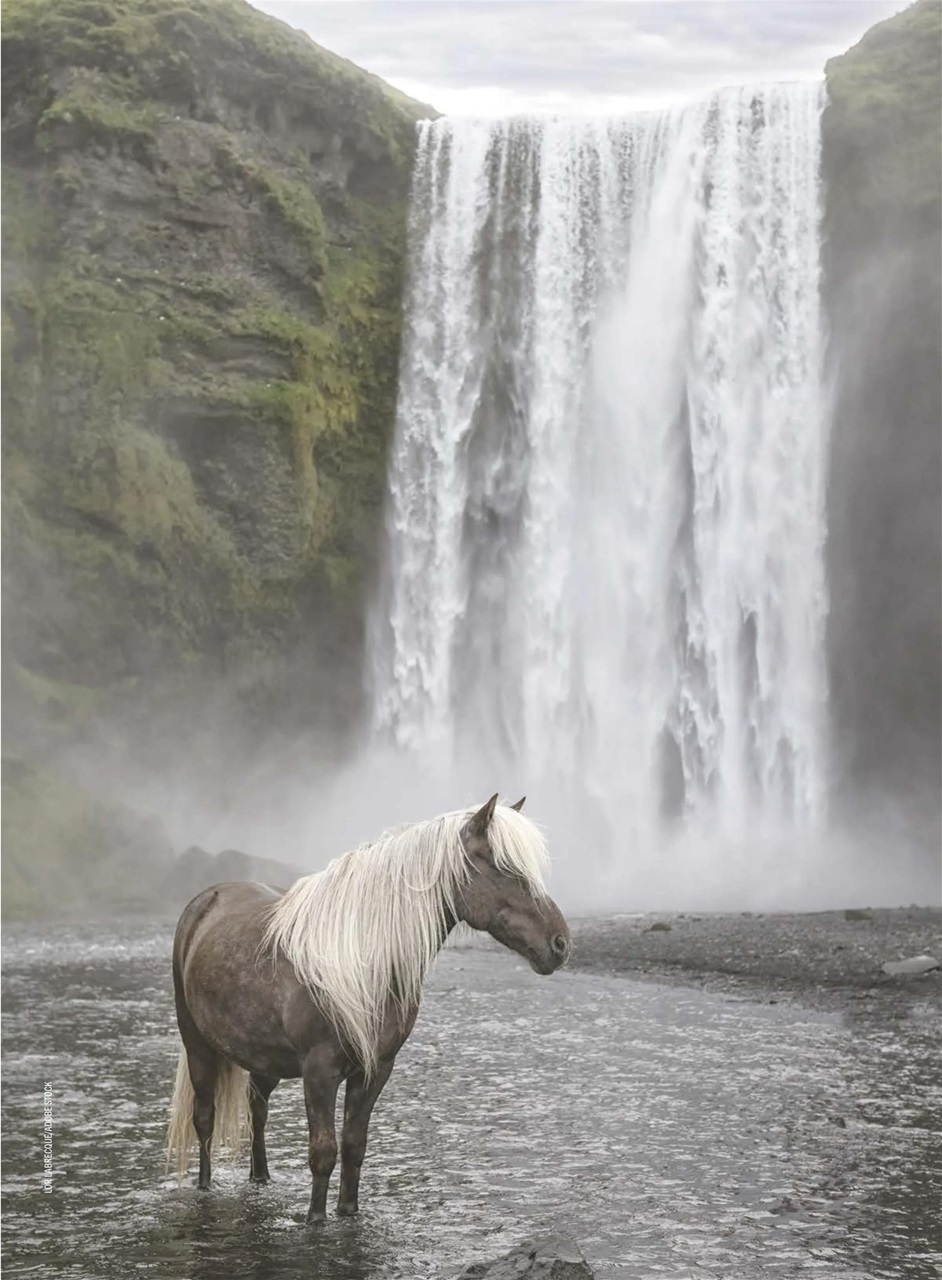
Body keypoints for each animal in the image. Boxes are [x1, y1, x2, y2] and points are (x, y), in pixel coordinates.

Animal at [166, 793, 571, 1223]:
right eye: (504, 867)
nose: (559, 944)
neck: (361, 960)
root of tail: (206, 901)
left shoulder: (375, 1069)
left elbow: (354, 1145)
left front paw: (348, 1212)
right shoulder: (319, 1070)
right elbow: (324, 1152)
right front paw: (315, 1220)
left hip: (263, 1059)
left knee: (257, 1110)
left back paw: (261, 1179)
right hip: (198, 1047)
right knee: (204, 1119)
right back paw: (205, 1187)